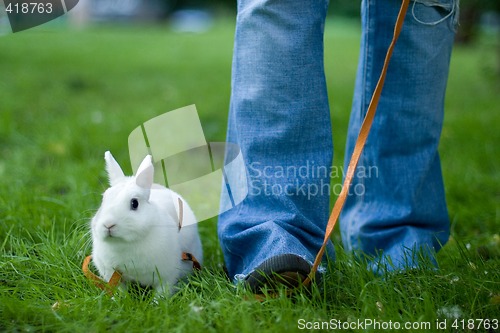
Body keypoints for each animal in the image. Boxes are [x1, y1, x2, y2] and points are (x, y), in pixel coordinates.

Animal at [91, 150, 202, 294]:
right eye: (103, 200)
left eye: (134, 203)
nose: (108, 224)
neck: (126, 243)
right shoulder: (112, 274)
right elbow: (120, 290)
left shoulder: (167, 276)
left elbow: (162, 292)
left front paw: (157, 300)